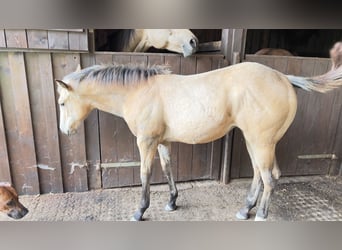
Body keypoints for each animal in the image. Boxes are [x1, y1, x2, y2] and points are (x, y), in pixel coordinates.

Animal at [56, 58, 342, 221]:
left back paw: (260, 214)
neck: (139, 91)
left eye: (61, 103)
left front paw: (140, 211)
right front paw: (172, 202)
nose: (65, 131)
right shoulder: (162, 142)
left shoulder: (146, 142)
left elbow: (145, 175)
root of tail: (284, 78)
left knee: (269, 178)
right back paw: (245, 209)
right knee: (261, 175)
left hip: (261, 143)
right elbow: (167, 169)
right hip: (257, 142)